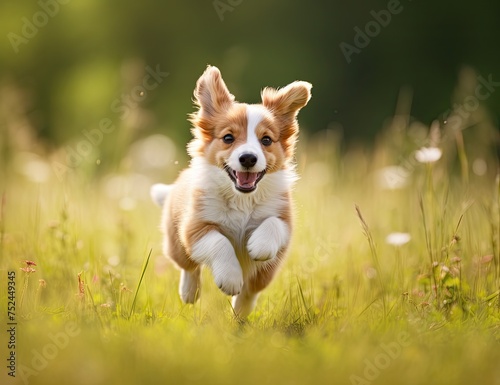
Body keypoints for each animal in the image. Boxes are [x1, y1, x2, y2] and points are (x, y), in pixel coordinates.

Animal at [150, 66, 310, 316]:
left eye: (266, 140)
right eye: (228, 138)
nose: (248, 158)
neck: (242, 199)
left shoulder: (285, 221)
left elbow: (273, 224)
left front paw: (259, 245)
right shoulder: (194, 227)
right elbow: (220, 242)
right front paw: (230, 278)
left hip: (267, 272)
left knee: (251, 290)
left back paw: (240, 314)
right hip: (176, 243)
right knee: (189, 267)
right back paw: (189, 293)